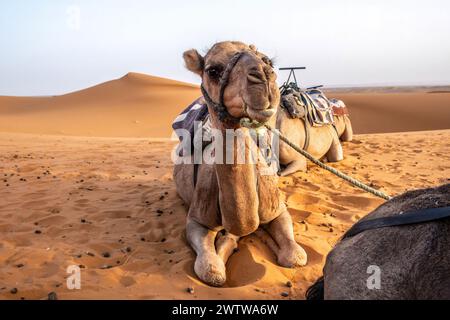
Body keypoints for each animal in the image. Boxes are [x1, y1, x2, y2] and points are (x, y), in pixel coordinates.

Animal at [174, 41, 308, 286]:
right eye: (213, 70)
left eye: (267, 60)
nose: (264, 75)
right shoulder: (196, 218)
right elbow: (211, 270)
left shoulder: (277, 209)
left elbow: (295, 256)